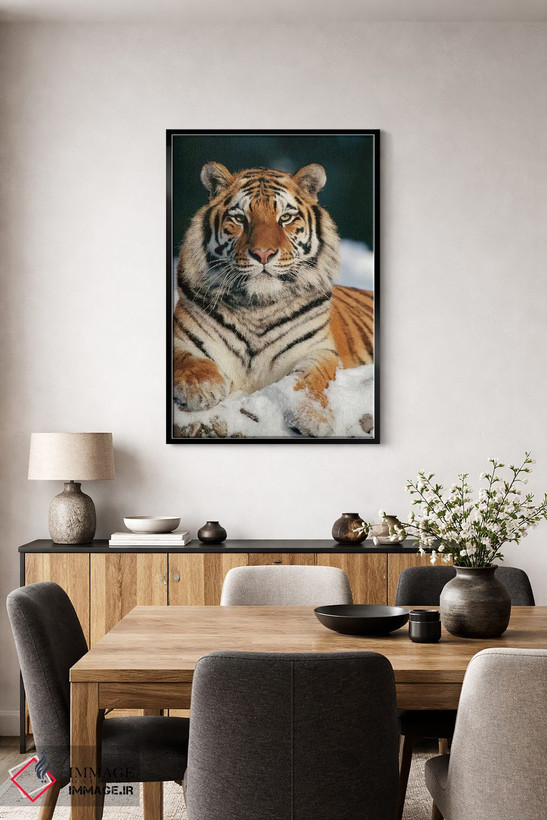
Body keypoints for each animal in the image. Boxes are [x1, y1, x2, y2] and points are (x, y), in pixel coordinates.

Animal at [173, 161, 374, 437]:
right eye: (240, 219)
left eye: (285, 218)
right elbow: (186, 358)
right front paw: (201, 388)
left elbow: (311, 380)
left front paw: (313, 417)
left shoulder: (319, 351)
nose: (263, 253)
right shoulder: (181, 338)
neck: (258, 306)